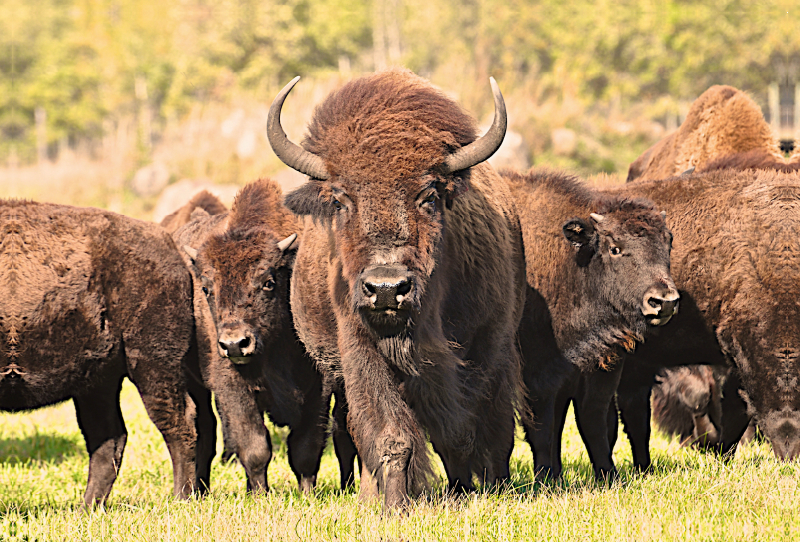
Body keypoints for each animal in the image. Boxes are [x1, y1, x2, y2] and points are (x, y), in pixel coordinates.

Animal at [0, 202, 214, 508]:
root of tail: (174, 249)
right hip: (97, 382)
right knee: (110, 438)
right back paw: (86, 509)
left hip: (151, 363)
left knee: (178, 422)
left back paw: (180, 498)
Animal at [268, 69, 528, 510]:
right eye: (340, 200)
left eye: (429, 195)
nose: (387, 288)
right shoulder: (361, 352)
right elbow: (391, 435)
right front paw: (393, 507)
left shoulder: (483, 351)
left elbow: (463, 430)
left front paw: (465, 493)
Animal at [504, 170, 680, 480]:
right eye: (615, 248)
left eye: (667, 242)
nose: (663, 301)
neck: (572, 262)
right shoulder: (538, 371)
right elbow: (543, 427)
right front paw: (546, 479)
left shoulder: (601, 365)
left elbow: (592, 419)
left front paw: (610, 476)